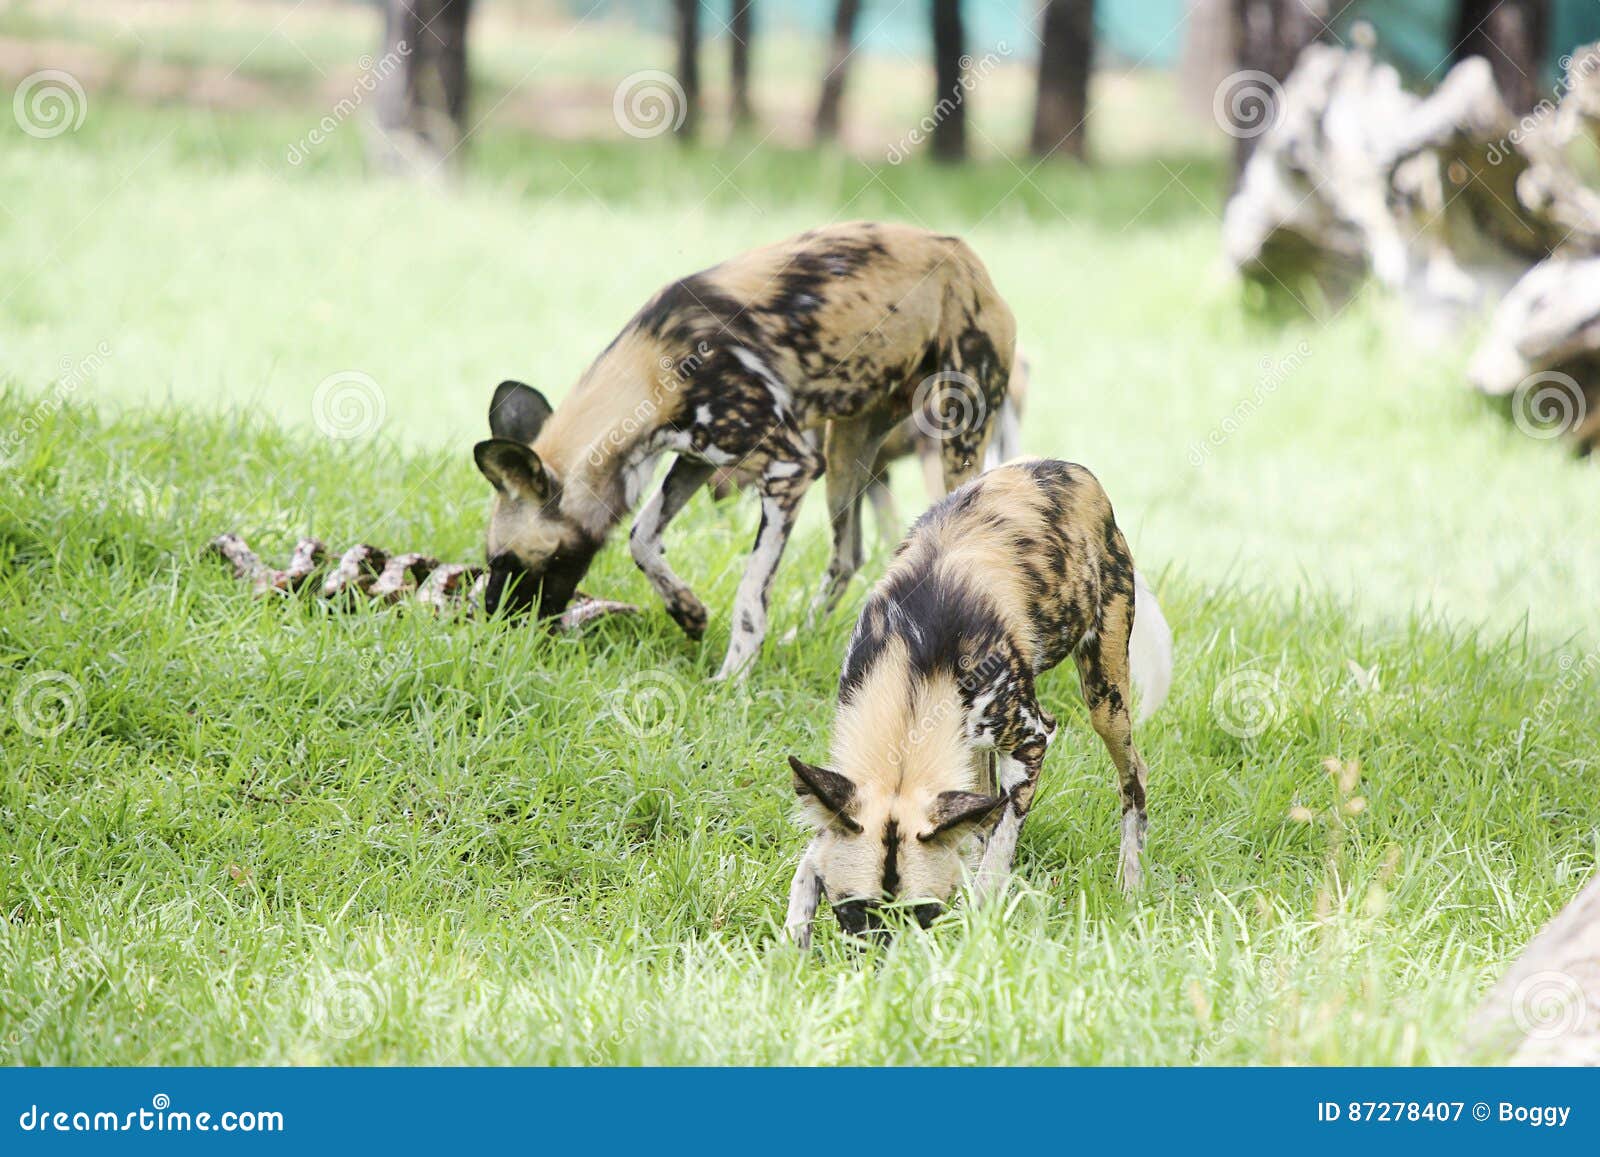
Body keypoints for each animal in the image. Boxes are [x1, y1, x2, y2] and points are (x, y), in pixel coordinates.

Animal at [470, 222, 1011, 684]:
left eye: (507, 563)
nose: (491, 626)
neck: (652, 369)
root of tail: (967, 257)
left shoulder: (790, 468)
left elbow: (750, 594)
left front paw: (732, 678)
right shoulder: (695, 456)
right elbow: (642, 538)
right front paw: (687, 612)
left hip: (954, 445)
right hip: (847, 455)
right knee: (847, 556)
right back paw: (804, 641)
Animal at [780, 457, 1171, 947]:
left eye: (924, 913)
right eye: (851, 912)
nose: (889, 961)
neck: (915, 668)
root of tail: (1068, 469)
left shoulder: (1032, 740)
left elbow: (996, 860)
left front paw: (978, 926)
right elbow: (807, 865)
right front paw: (792, 945)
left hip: (1104, 696)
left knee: (1134, 776)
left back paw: (1131, 885)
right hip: (976, 740)